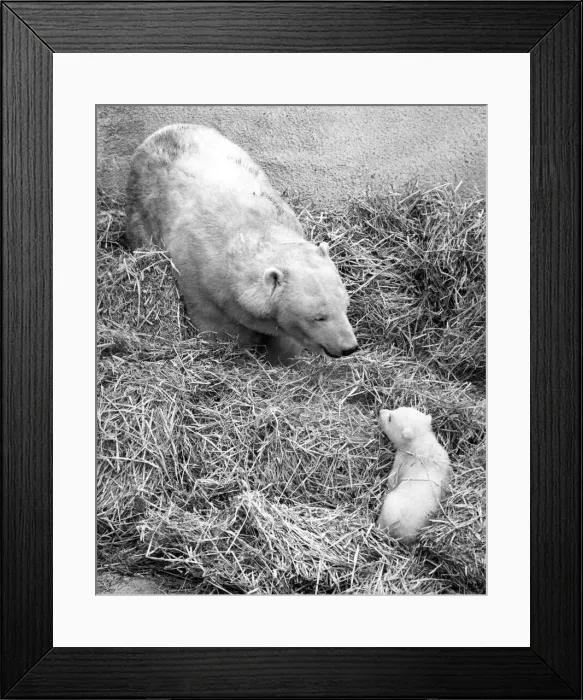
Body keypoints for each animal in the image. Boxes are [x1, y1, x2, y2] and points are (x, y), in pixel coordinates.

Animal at [125, 123, 359, 365]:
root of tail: (164, 131)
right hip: (142, 202)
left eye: (345, 305)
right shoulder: (198, 281)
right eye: (319, 317)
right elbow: (218, 328)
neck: (252, 231)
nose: (349, 347)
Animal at [377, 406, 452, 544]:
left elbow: (393, 476)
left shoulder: (403, 458)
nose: (381, 411)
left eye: (390, 418)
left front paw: (389, 484)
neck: (421, 440)